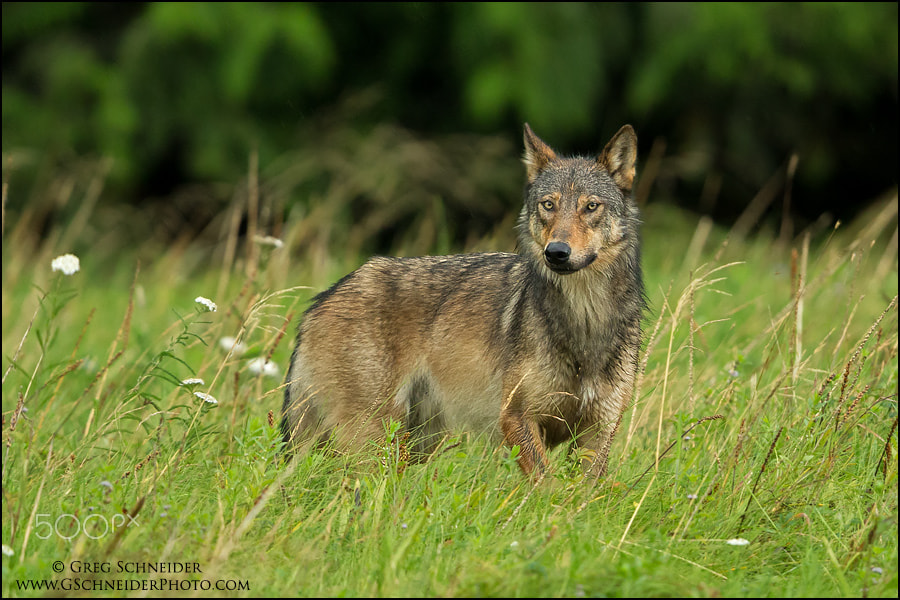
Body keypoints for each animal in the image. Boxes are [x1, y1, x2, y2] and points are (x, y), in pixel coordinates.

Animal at [278, 124, 644, 480]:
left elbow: (580, 494)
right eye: (548, 205)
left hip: (415, 443)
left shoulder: (600, 430)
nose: (556, 252)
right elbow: (549, 487)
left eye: (591, 206)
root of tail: (321, 299)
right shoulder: (515, 417)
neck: (586, 318)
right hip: (374, 442)